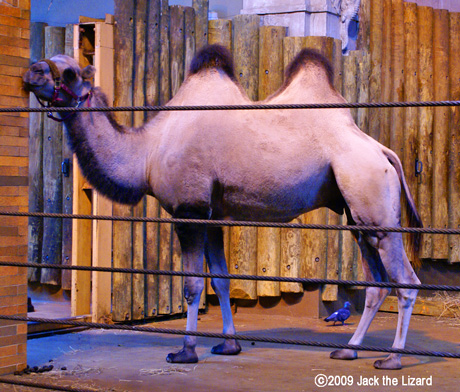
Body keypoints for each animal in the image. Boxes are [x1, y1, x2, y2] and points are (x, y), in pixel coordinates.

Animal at [23, 44, 422, 370]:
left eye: (70, 73)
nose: (32, 72)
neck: (147, 152)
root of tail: (383, 152)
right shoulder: (211, 217)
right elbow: (222, 279)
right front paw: (229, 345)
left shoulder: (189, 211)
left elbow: (192, 285)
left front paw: (185, 351)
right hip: (358, 217)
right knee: (376, 283)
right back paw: (349, 349)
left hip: (373, 203)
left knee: (406, 280)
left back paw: (392, 358)